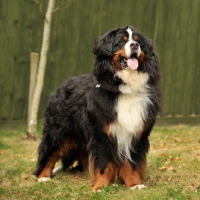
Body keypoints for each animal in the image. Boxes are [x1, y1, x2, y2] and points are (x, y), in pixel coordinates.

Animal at [34, 25, 161, 191]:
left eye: (138, 41)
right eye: (122, 41)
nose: (134, 45)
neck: (125, 88)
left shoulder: (137, 133)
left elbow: (131, 163)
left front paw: (134, 183)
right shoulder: (101, 132)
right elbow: (102, 162)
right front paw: (100, 185)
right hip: (60, 130)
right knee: (49, 151)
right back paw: (43, 176)